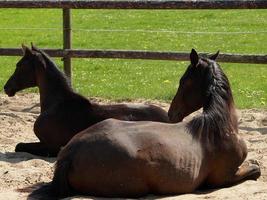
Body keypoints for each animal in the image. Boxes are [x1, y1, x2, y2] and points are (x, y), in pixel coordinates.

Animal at [29, 48, 262, 198]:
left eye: (184, 81)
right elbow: (256, 169)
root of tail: (71, 153)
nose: (172, 113)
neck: (217, 126)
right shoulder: (223, 178)